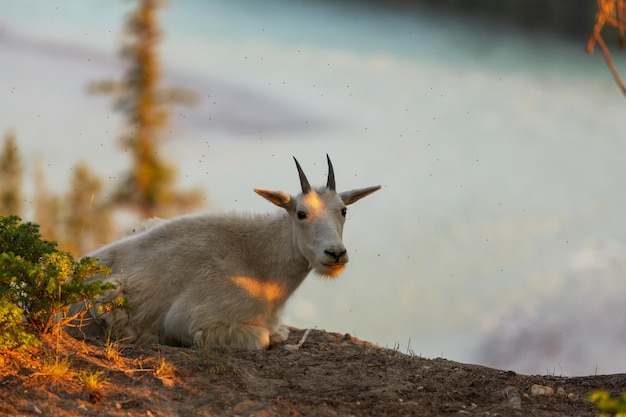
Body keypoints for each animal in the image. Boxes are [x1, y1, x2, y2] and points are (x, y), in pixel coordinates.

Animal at [75, 155, 378, 348]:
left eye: (343, 210)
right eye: (301, 213)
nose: (335, 254)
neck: (262, 265)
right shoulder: (191, 319)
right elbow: (262, 339)